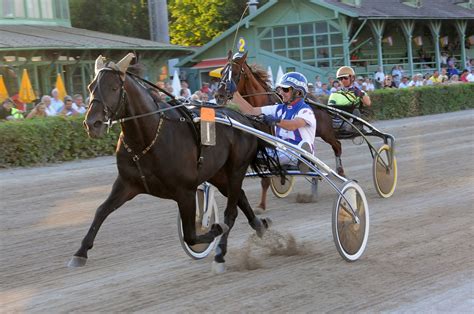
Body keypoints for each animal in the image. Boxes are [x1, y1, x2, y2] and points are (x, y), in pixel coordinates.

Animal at [69, 52, 274, 274]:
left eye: (114, 88)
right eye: (91, 87)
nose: (92, 124)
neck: (148, 137)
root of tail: (244, 118)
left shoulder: (185, 192)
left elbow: (191, 235)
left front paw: (214, 228)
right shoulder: (127, 183)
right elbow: (101, 211)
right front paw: (80, 252)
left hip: (236, 170)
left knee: (231, 212)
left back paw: (220, 254)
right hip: (218, 174)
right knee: (241, 197)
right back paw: (259, 225)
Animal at [216, 50, 344, 210]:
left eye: (234, 73)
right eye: (221, 72)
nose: (219, 95)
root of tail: (318, 101)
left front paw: (261, 205)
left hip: (325, 132)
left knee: (337, 145)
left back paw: (339, 172)